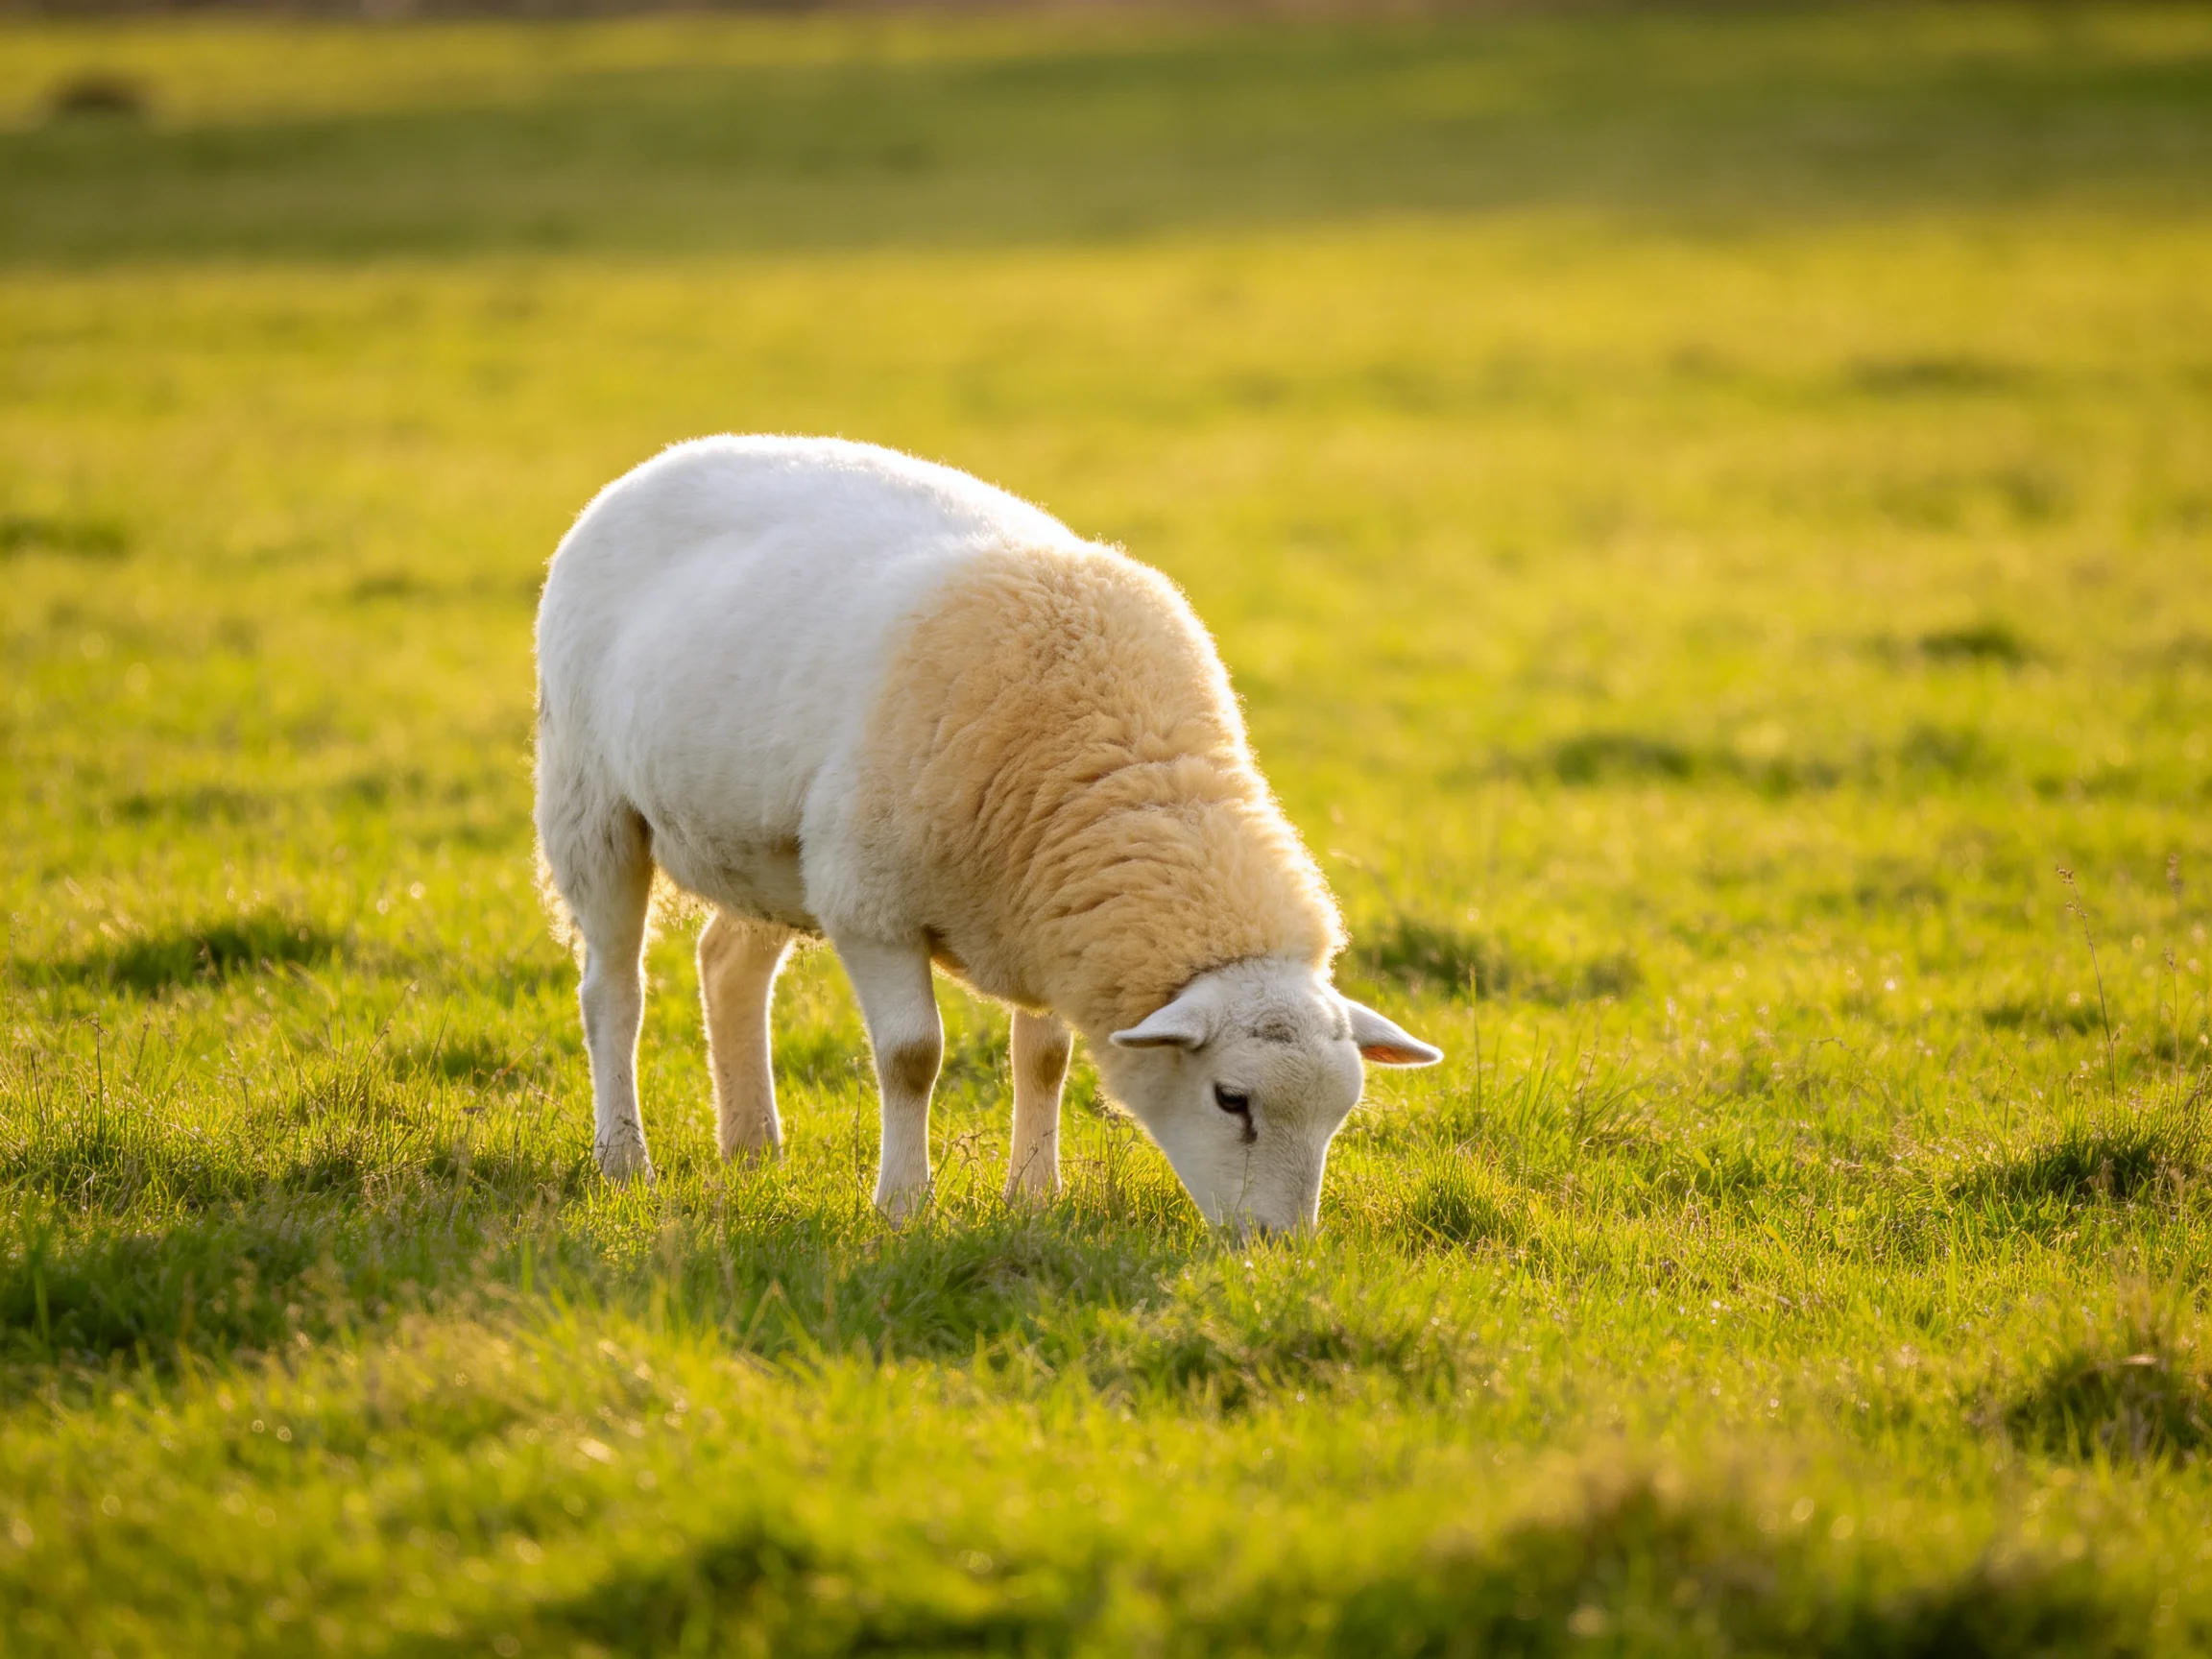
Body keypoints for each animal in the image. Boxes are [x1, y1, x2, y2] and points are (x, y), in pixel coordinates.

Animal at [534, 436, 1439, 1233]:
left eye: (1340, 1114)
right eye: (1232, 1100)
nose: (1282, 1248)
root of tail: (667, 458)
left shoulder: (1042, 915)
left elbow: (1044, 1059)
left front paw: (1033, 1197)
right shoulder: (870, 904)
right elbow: (912, 1057)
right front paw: (904, 1206)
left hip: (771, 851)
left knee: (726, 964)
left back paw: (754, 1150)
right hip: (592, 803)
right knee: (614, 991)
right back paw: (626, 1160)